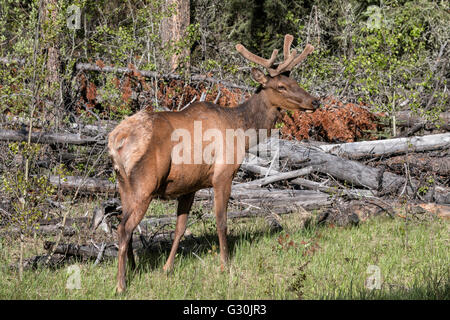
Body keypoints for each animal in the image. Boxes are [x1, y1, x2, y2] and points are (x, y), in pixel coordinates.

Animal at [108, 34, 320, 292]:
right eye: (281, 86)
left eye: (295, 81)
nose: (315, 101)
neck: (241, 131)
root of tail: (116, 140)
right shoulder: (223, 175)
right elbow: (221, 221)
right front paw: (225, 264)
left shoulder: (189, 185)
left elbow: (180, 227)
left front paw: (167, 268)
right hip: (144, 184)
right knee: (123, 228)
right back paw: (121, 284)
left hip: (123, 184)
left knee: (123, 224)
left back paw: (135, 269)